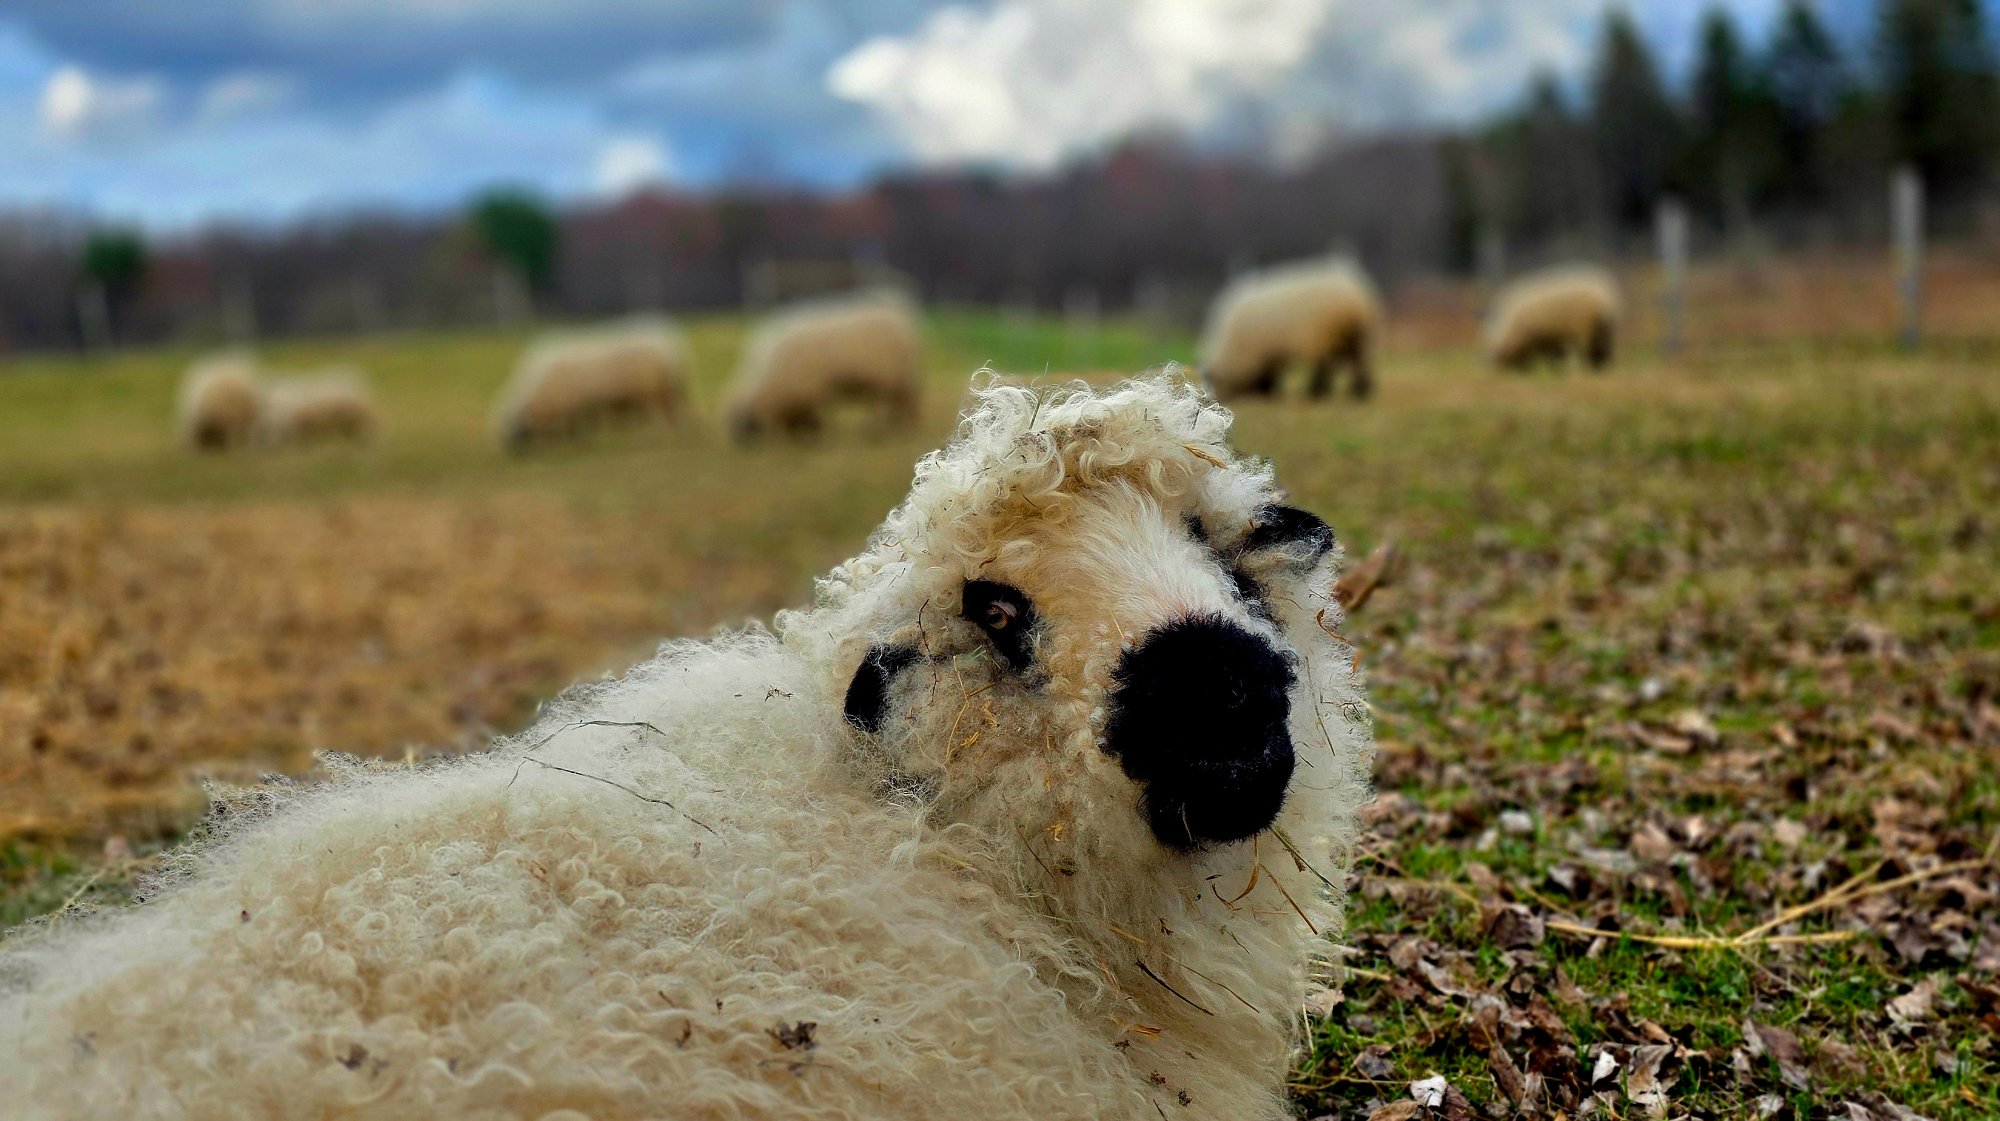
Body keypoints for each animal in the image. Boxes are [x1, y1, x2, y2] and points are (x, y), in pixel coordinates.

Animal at [494, 317, 689, 452]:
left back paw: (656, 436)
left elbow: (574, 426)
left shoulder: (573, 405)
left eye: (515, 431)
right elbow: (583, 424)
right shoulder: (583, 406)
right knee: (674, 413)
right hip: (667, 390)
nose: (514, 455)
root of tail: (670, 345)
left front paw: (575, 440)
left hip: (650, 391)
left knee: (660, 415)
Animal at [724, 290, 921, 441]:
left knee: (884, 404)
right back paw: (903, 428)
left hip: (885, 378)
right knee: (906, 401)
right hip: (899, 378)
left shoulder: (812, 389)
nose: (738, 444)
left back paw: (880, 430)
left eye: (736, 421)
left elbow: (817, 416)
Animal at [1199, 258, 1381, 402]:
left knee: (1324, 367)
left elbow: (1267, 378)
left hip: (1323, 336)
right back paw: (1360, 393)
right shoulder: (1268, 354)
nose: (1217, 400)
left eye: (1213, 382)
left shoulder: (1261, 352)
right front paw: (1269, 392)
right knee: (1360, 363)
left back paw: (1316, 393)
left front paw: (1268, 393)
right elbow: (1269, 376)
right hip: (1358, 335)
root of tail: (1354, 296)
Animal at [1483, 265, 1622, 372]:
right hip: (1603, 330)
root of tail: (1605, 297)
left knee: (1585, 350)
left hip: (1584, 328)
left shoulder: (1537, 337)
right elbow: (1554, 355)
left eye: (1499, 361)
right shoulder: (1550, 337)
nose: (1500, 373)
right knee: (1602, 350)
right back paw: (1600, 368)